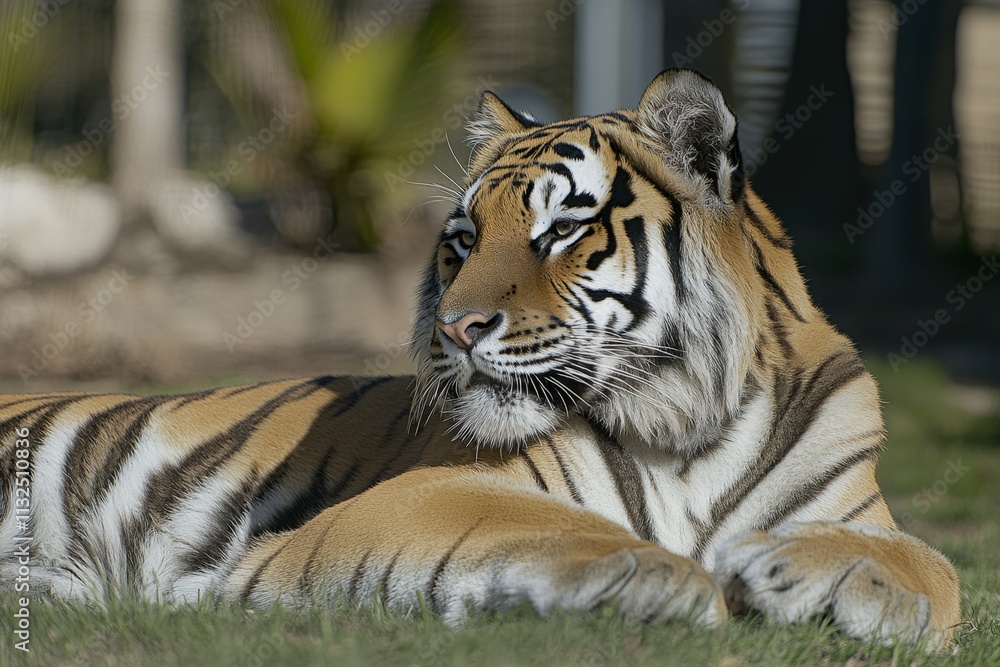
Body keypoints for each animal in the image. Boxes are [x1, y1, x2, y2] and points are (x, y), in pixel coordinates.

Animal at [1, 69, 960, 649]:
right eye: (463, 240)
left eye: (563, 229)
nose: (456, 330)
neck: (689, 423)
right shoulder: (423, 494)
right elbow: (556, 526)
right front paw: (673, 577)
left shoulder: (858, 508)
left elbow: (937, 565)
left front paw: (814, 571)